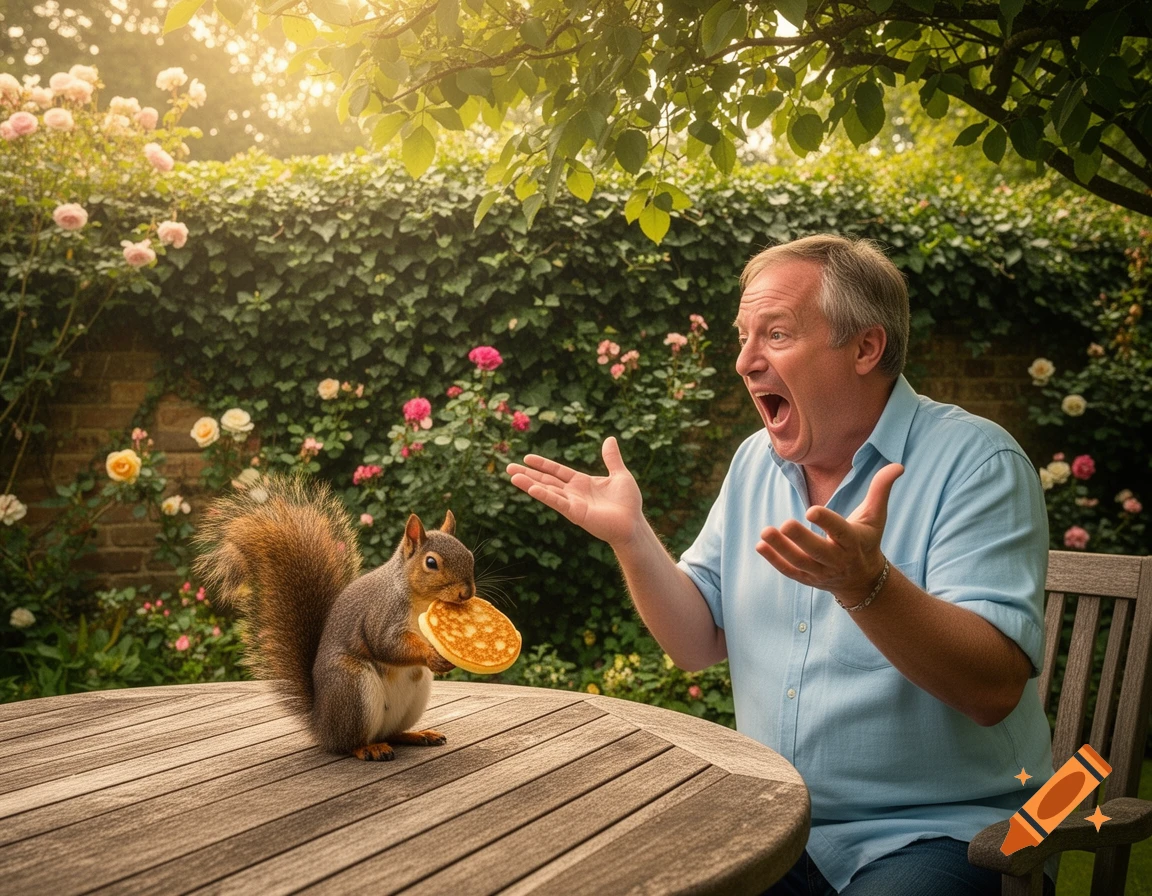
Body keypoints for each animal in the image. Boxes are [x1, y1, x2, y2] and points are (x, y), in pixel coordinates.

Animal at [193, 475, 475, 761]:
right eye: (431, 563)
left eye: (470, 555)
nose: (467, 593)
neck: (421, 602)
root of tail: (321, 724)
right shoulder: (382, 614)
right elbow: (386, 644)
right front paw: (432, 655)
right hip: (352, 687)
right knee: (349, 743)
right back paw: (369, 748)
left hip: (412, 698)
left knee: (392, 733)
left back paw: (417, 735)